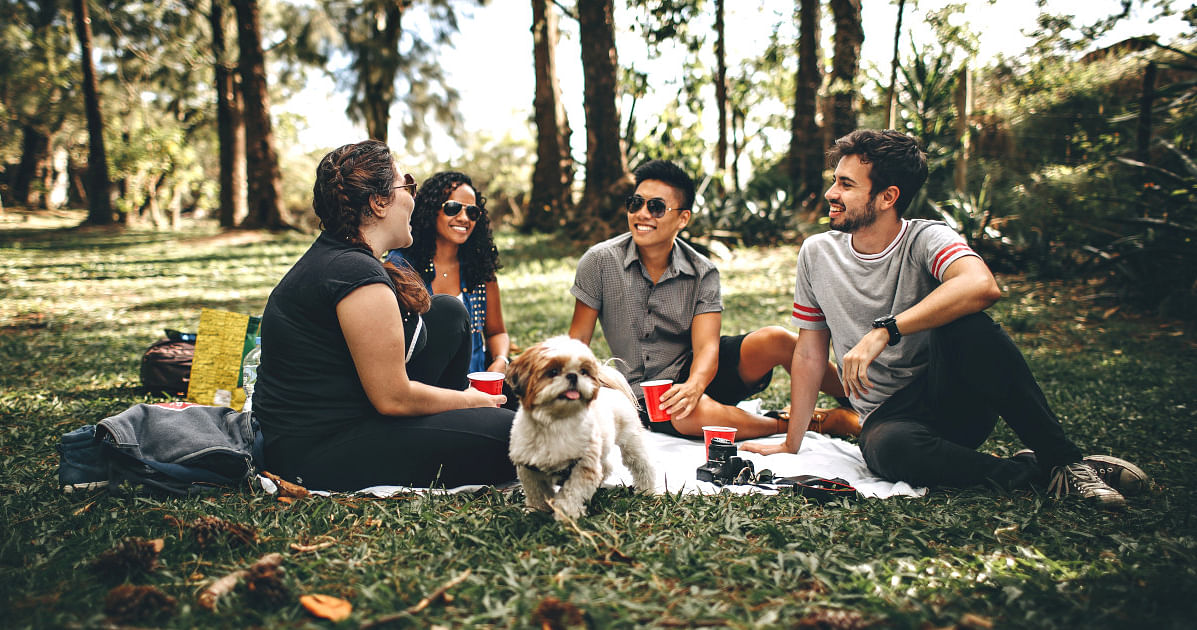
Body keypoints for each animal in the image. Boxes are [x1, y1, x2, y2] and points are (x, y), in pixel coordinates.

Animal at [502, 337, 655, 522]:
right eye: (553, 371)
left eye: (583, 371)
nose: (573, 376)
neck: (555, 422)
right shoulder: (529, 469)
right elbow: (536, 493)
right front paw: (536, 512)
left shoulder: (583, 466)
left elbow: (571, 493)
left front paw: (565, 514)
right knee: (606, 466)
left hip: (631, 441)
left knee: (642, 465)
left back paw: (647, 490)